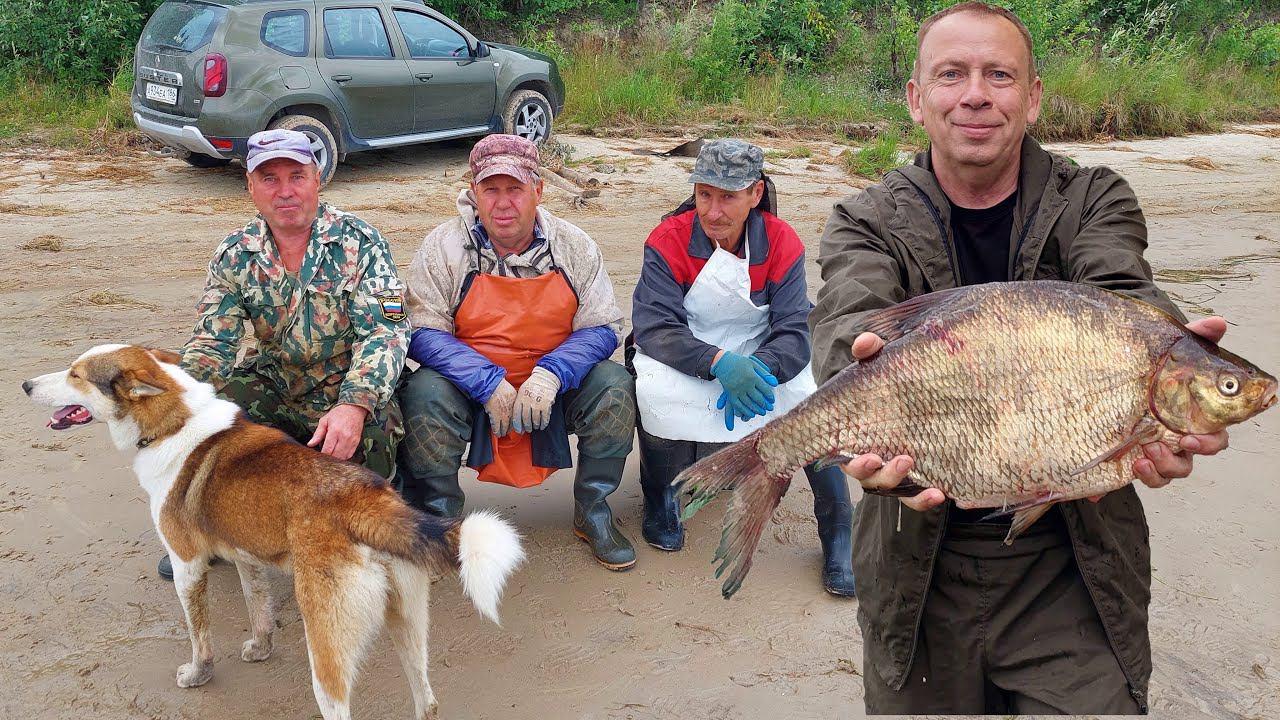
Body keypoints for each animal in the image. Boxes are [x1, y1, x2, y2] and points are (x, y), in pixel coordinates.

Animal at [21, 345, 519, 712]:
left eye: (76, 374)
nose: (25, 384)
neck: (175, 422)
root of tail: (366, 500)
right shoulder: (247, 558)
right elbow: (257, 608)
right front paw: (260, 648)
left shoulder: (188, 566)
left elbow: (199, 637)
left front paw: (198, 675)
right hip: (409, 627)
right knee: (427, 701)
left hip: (326, 647)